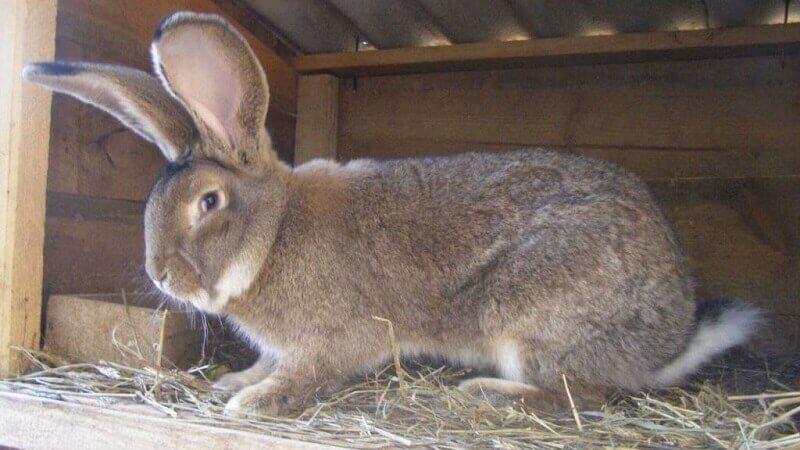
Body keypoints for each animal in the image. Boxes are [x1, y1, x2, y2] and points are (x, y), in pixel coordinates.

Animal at [23, 11, 764, 418]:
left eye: (209, 201)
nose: (161, 275)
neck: (274, 236)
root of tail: (668, 341)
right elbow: (267, 361)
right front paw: (238, 379)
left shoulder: (335, 340)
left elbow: (307, 373)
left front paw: (253, 401)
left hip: (535, 319)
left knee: (585, 395)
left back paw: (488, 394)